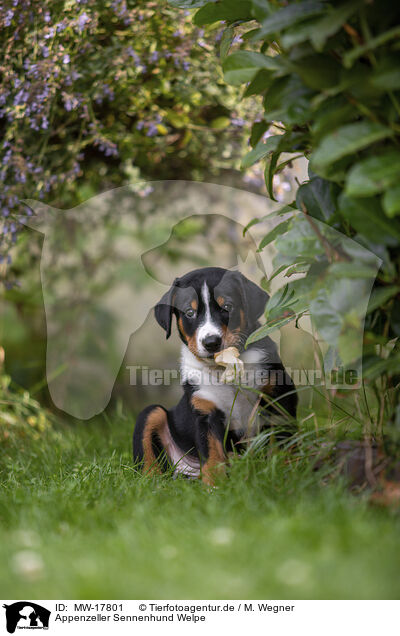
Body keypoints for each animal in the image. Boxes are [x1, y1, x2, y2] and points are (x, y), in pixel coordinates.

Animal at [134, 266, 296, 484]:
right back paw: (152, 483)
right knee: (147, 461)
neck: (225, 367)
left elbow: (283, 440)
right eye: (190, 312)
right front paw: (215, 486)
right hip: (151, 413)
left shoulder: (278, 395)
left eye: (227, 306)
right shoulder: (205, 412)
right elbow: (213, 454)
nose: (211, 342)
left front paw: (287, 472)